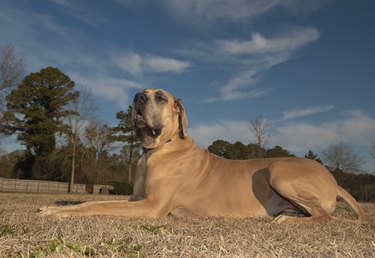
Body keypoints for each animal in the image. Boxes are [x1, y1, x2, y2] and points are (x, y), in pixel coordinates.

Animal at [39, 89, 366, 223]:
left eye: (161, 97)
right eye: (142, 93)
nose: (137, 98)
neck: (158, 148)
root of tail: (333, 179)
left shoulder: (151, 206)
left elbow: (100, 206)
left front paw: (58, 213)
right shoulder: (136, 199)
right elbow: (92, 202)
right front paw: (52, 208)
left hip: (277, 171)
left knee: (325, 216)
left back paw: (287, 219)